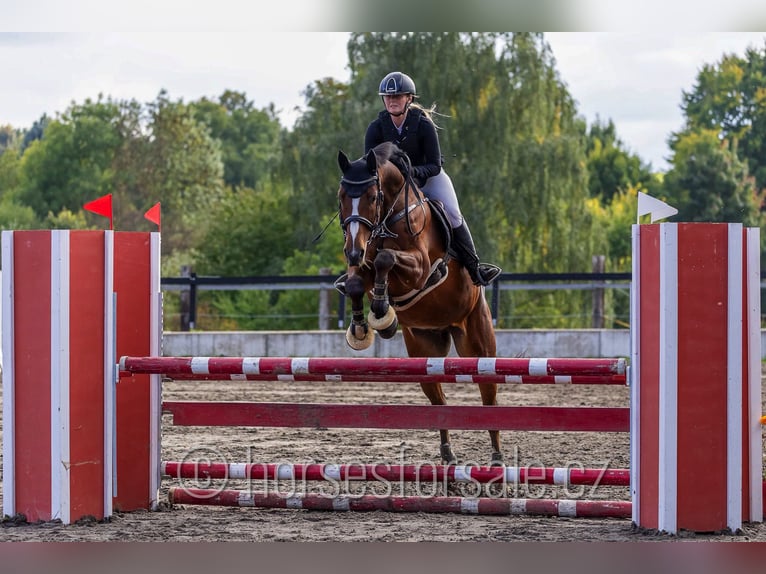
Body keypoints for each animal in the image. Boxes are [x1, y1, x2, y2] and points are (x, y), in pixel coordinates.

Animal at [335, 141, 502, 464]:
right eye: (341, 198)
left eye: (372, 197)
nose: (352, 251)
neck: (388, 218)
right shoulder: (363, 266)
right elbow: (356, 282)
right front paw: (364, 326)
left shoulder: (421, 268)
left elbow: (386, 259)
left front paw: (381, 311)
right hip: (424, 351)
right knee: (438, 400)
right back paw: (447, 454)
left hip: (479, 344)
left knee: (489, 397)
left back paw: (498, 457)